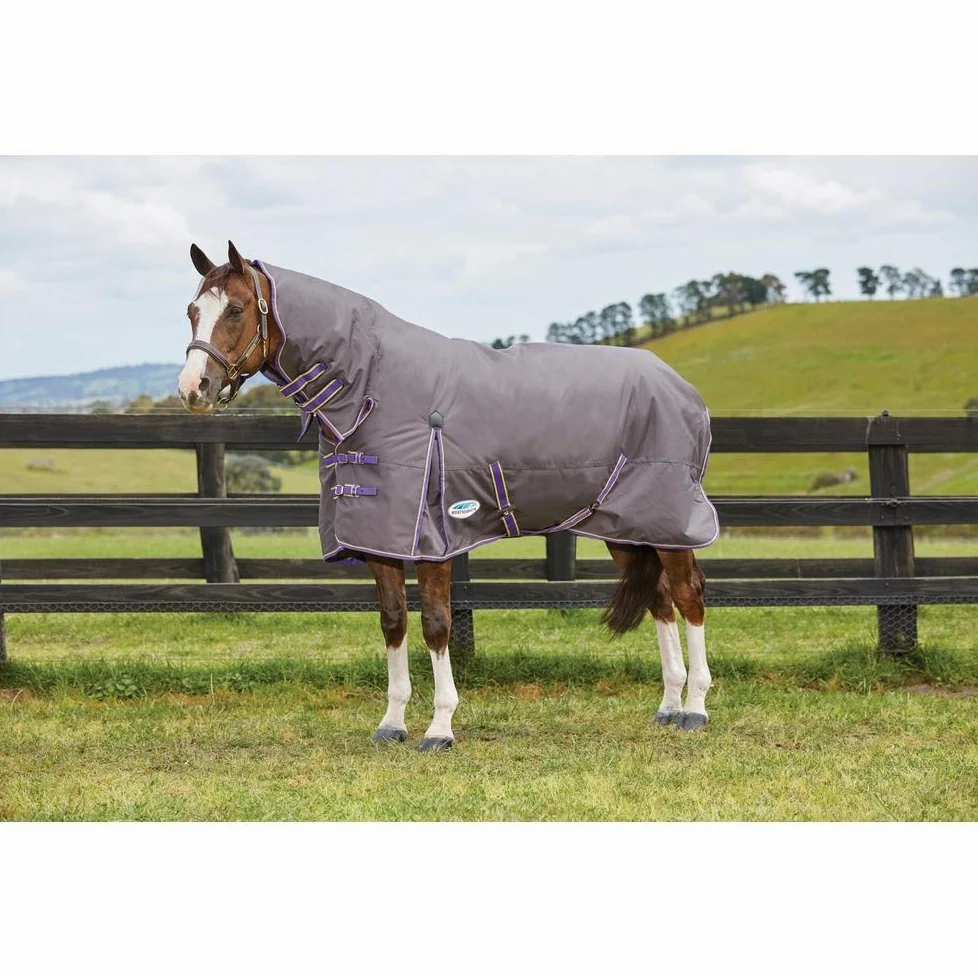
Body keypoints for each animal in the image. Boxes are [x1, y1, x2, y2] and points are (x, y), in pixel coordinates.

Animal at [178, 241, 716, 751]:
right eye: (191, 310)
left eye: (235, 309)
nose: (193, 389)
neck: (372, 385)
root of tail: (681, 388)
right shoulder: (380, 541)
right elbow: (394, 623)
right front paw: (392, 723)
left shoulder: (432, 541)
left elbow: (436, 625)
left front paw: (439, 728)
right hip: (627, 528)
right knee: (660, 599)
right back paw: (668, 705)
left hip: (670, 524)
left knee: (688, 595)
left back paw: (694, 709)